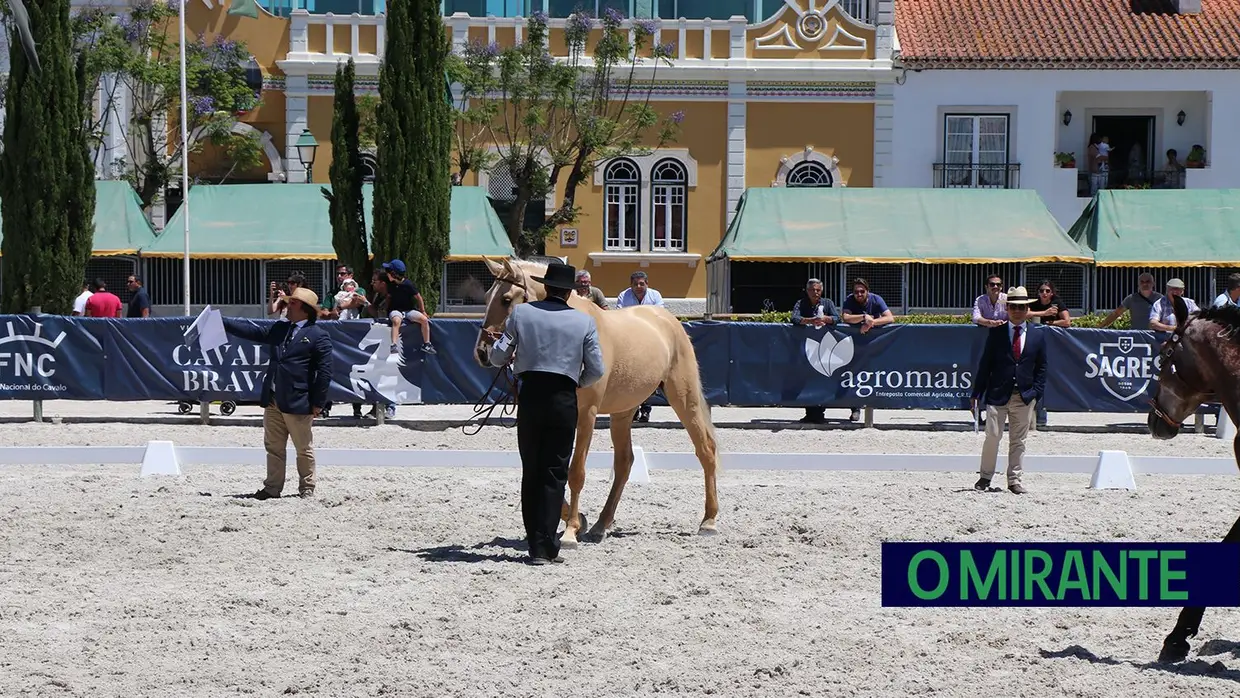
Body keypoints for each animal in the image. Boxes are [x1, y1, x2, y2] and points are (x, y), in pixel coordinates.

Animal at [468, 256, 724, 545]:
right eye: (487, 297)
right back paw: (601, 524)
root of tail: (667, 319)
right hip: (624, 411)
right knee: (624, 462)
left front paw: (570, 531)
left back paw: (709, 521)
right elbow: (537, 467)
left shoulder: (587, 415)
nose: (482, 352)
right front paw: (579, 521)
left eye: (506, 299)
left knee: (705, 449)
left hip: (684, 398)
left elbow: (576, 471)